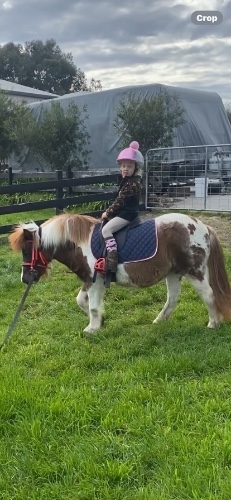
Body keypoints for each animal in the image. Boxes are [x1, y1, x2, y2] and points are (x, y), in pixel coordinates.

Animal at [8, 211, 231, 332]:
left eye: (27, 250)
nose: (25, 278)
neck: (79, 242)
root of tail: (203, 226)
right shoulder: (90, 280)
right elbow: (82, 301)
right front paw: (99, 322)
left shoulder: (95, 281)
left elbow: (93, 306)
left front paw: (92, 328)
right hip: (174, 273)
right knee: (173, 299)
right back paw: (159, 321)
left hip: (195, 272)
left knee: (209, 295)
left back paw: (213, 323)